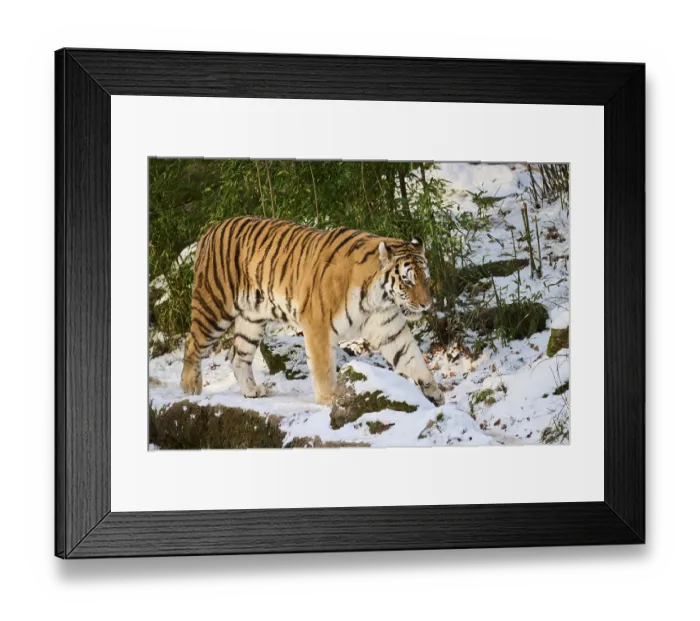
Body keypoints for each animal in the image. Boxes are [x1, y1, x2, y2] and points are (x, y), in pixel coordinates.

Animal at [180, 216, 445, 407]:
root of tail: (209, 230)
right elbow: (324, 368)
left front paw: (433, 391)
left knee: (238, 354)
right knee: (192, 344)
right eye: (407, 281)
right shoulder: (318, 325)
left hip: (252, 319)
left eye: (426, 279)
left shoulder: (388, 327)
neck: (377, 298)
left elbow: (411, 358)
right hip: (214, 306)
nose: (426, 304)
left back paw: (252, 390)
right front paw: (330, 400)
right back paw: (190, 387)